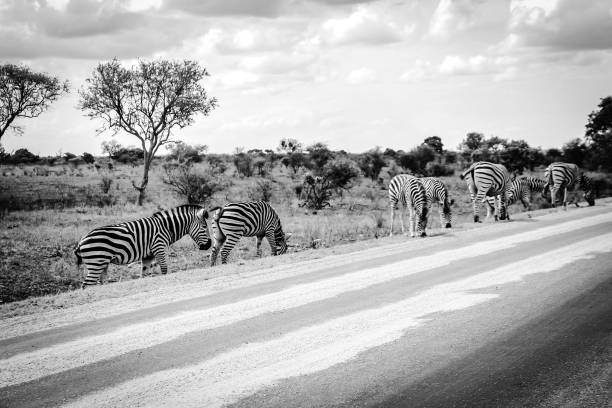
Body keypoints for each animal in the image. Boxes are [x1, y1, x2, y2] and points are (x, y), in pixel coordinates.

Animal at [74, 204, 210, 286]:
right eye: (204, 227)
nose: (209, 245)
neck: (166, 227)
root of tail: (81, 242)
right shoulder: (159, 247)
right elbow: (164, 270)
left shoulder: (147, 256)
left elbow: (144, 274)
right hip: (96, 263)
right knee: (86, 285)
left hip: (103, 264)